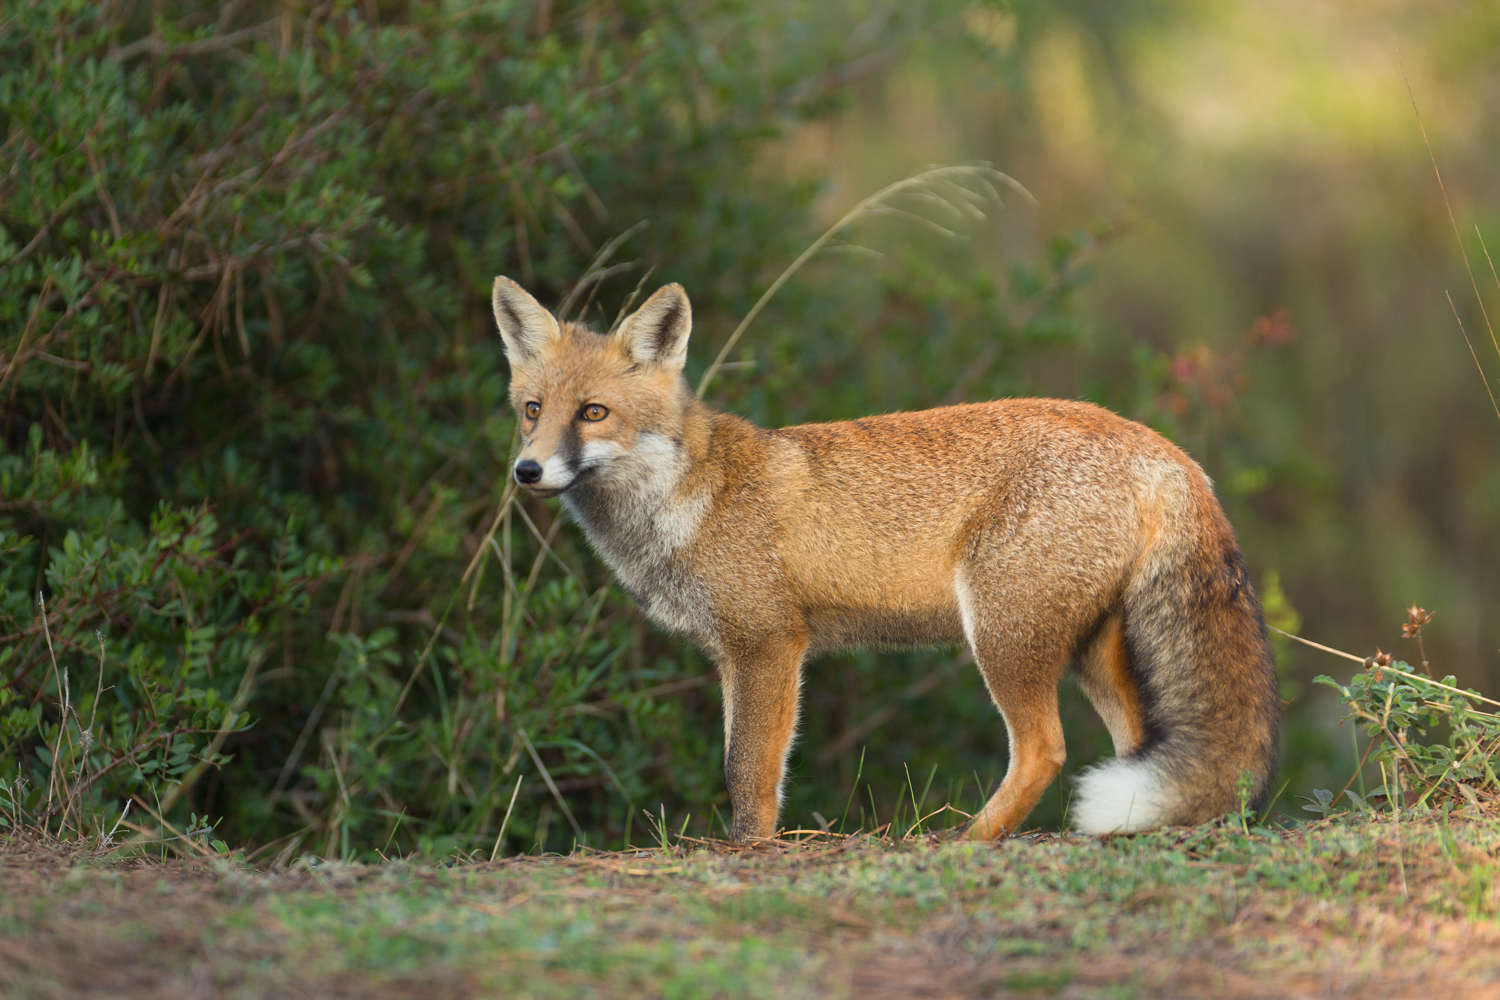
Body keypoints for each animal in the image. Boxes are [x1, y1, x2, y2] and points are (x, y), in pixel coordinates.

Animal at [489, 275, 1278, 845]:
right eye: (532, 410)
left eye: (593, 413)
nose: (526, 471)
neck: (690, 498)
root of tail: (1160, 447)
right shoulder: (732, 658)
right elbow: (740, 768)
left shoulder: (769, 645)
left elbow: (750, 776)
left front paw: (750, 853)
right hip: (1092, 653)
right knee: (1138, 749)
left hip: (1003, 638)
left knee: (1045, 751)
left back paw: (967, 840)